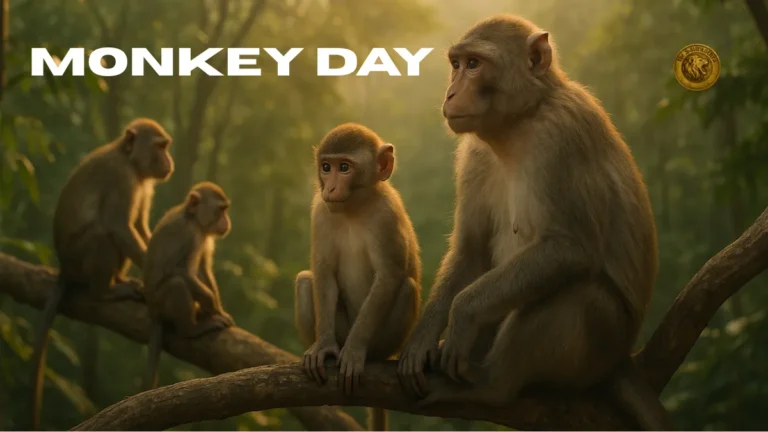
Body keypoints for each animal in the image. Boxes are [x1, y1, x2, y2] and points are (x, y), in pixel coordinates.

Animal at [29, 118, 173, 430]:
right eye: (160, 147)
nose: (170, 160)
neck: (129, 160)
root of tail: (64, 267)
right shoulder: (121, 179)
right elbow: (119, 225)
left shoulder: (143, 184)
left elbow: (140, 226)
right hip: (79, 259)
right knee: (102, 235)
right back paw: (104, 291)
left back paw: (118, 281)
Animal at [142, 181, 235, 391]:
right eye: (220, 210)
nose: (227, 221)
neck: (193, 219)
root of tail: (152, 312)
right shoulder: (192, 236)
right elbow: (182, 271)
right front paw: (211, 305)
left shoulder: (204, 237)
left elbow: (204, 270)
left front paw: (217, 309)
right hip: (160, 302)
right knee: (177, 284)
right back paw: (191, 329)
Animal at [294, 123, 421, 431]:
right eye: (326, 167)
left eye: (344, 167)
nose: (330, 187)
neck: (354, 209)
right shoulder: (320, 211)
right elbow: (323, 273)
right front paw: (324, 346)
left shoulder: (387, 215)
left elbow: (389, 277)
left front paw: (353, 351)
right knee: (305, 281)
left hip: (387, 342)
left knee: (406, 288)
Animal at [395, 15, 674, 431]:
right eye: (456, 64)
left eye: (474, 64)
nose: (450, 93)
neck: (520, 123)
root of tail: (620, 360)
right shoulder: (473, 154)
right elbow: (471, 250)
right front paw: (421, 340)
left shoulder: (561, 135)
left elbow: (570, 247)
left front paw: (462, 312)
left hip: (599, 350)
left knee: (579, 295)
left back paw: (490, 387)